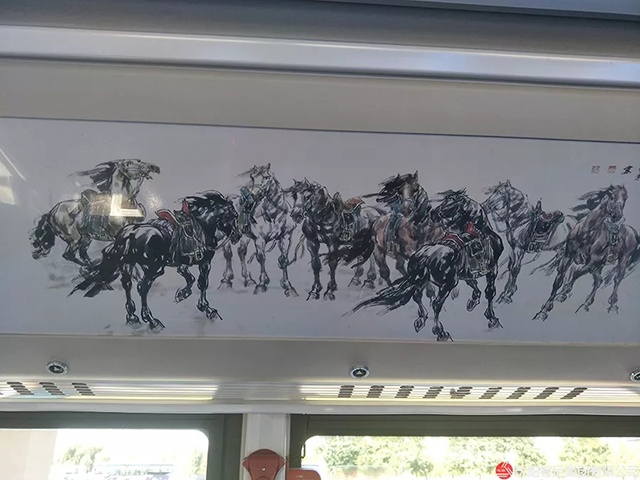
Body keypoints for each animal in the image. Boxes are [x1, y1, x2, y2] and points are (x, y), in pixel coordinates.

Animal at [30, 159, 160, 267]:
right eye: (128, 163)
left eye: (139, 160)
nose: (153, 167)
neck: (122, 204)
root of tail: (52, 212)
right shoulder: (118, 236)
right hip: (75, 238)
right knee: (69, 255)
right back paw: (89, 268)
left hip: (86, 238)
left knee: (82, 253)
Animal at [70, 191, 241, 330]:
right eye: (234, 216)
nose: (237, 236)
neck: (201, 225)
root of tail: (130, 233)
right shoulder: (204, 263)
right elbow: (202, 283)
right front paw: (207, 308)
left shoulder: (182, 264)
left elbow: (190, 279)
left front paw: (182, 294)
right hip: (154, 267)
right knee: (142, 287)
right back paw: (151, 320)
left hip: (129, 264)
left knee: (128, 284)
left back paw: (132, 316)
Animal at [219, 164, 299, 297]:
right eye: (252, 177)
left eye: (266, 177)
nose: (253, 196)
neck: (274, 214)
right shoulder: (260, 240)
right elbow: (261, 258)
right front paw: (262, 284)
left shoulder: (284, 238)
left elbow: (284, 260)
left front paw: (288, 286)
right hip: (224, 237)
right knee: (228, 254)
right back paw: (226, 280)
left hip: (245, 236)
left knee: (241, 252)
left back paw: (248, 279)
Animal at [350, 189, 503, 341]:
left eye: (449, 202)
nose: (434, 213)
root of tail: (425, 256)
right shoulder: (492, 270)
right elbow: (490, 292)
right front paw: (492, 318)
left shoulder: (466, 274)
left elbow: (474, 284)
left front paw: (473, 301)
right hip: (446, 284)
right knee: (435, 303)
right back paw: (440, 332)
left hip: (423, 279)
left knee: (417, 295)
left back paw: (421, 319)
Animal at [534, 185, 639, 320]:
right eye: (611, 196)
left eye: (625, 198)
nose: (617, 215)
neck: (586, 233)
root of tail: (633, 232)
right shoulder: (568, 258)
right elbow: (558, 281)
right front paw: (544, 310)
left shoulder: (593, 261)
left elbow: (576, 273)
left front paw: (563, 293)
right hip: (599, 266)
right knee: (598, 281)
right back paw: (585, 304)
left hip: (622, 260)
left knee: (617, 279)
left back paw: (613, 305)